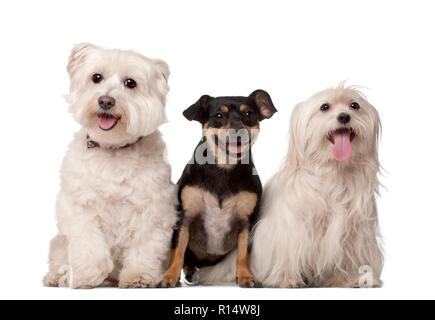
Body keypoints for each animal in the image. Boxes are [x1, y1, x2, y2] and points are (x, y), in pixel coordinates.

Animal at [43, 43, 179, 288]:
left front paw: (138, 276)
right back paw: (60, 276)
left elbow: (144, 246)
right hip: (59, 242)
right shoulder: (81, 207)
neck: (113, 149)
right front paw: (87, 275)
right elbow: (88, 244)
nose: (106, 101)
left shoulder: (153, 209)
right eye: (96, 77)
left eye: (130, 83)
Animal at [159, 89, 276, 288]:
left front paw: (246, 276)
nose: (238, 130)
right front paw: (170, 276)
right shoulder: (184, 218)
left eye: (249, 114)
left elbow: (243, 254)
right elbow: (177, 250)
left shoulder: (247, 222)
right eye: (219, 116)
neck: (224, 168)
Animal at [199, 84, 384, 288]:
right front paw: (285, 278)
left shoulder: (354, 232)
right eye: (325, 107)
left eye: (355, 105)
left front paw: (349, 278)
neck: (334, 170)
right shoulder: (290, 229)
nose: (344, 116)